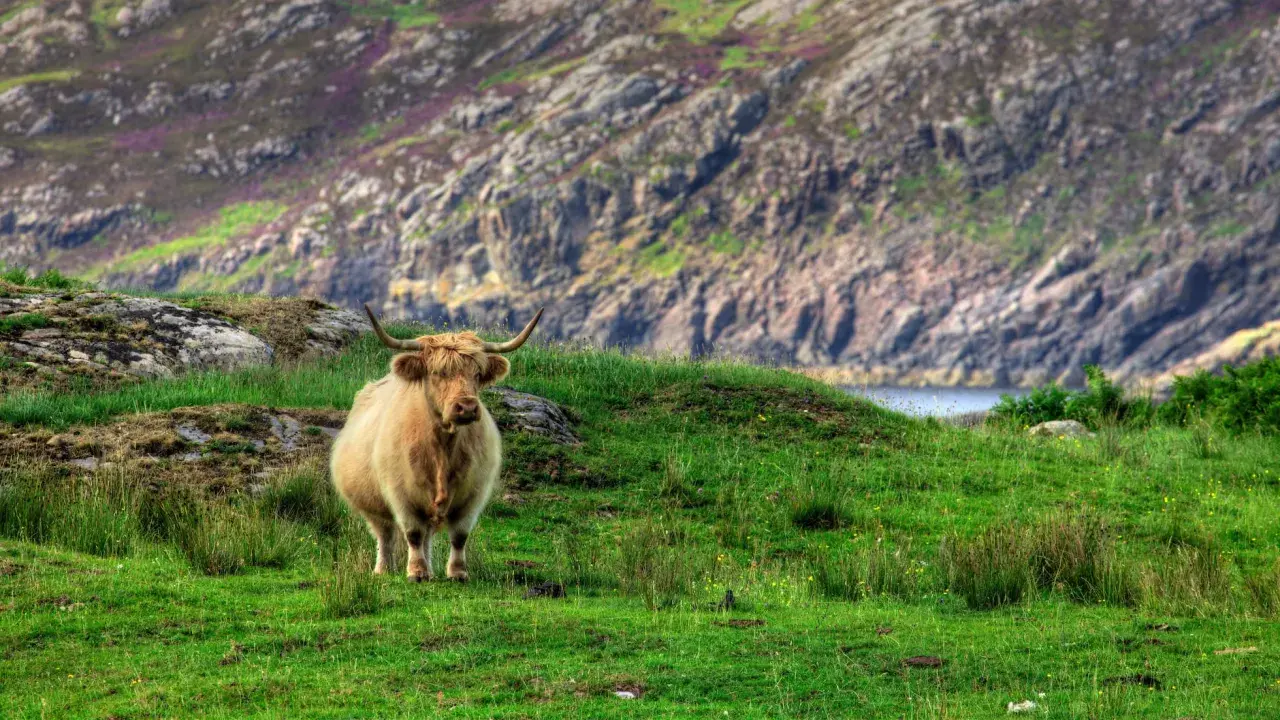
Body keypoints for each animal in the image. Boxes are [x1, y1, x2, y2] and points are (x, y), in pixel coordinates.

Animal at [330, 305, 543, 581]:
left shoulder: (473, 495)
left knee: (426, 534)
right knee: (385, 534)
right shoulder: (400, 493)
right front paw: (416, 573)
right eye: (437, 372)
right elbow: (412, 533)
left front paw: (457, 573)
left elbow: (459, 536)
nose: (467, 407)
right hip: (372, 505)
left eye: (477, 374)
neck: (442, 447)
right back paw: (384, 569)